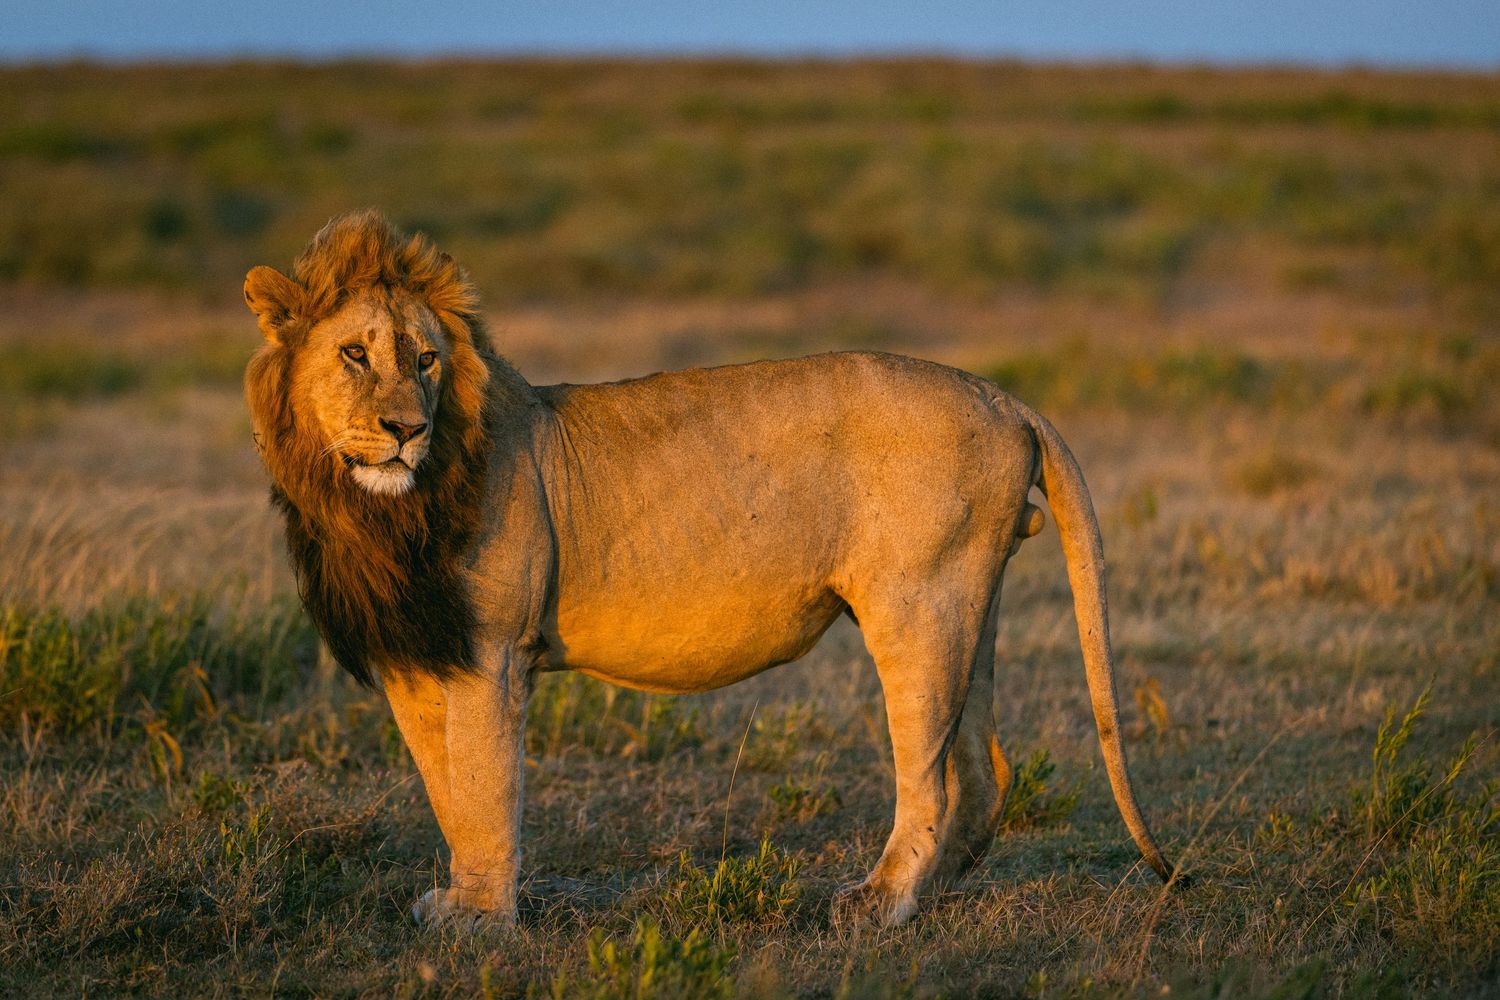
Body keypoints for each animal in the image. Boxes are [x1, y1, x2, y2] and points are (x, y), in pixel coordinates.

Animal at [243, 211, 1178, 929]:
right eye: (356, 355)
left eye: (426, 359)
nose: (405, 429)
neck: (375, 512)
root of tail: (1005, 395)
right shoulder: (415, 654)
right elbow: (445, 788)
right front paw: (462, 903)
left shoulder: (493, 652)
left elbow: (482, 786)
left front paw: (481, 919)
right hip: (970, 605)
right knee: (984, 771)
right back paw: (933, 895)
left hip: (919, 606)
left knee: (931, 777)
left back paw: (877, 903)